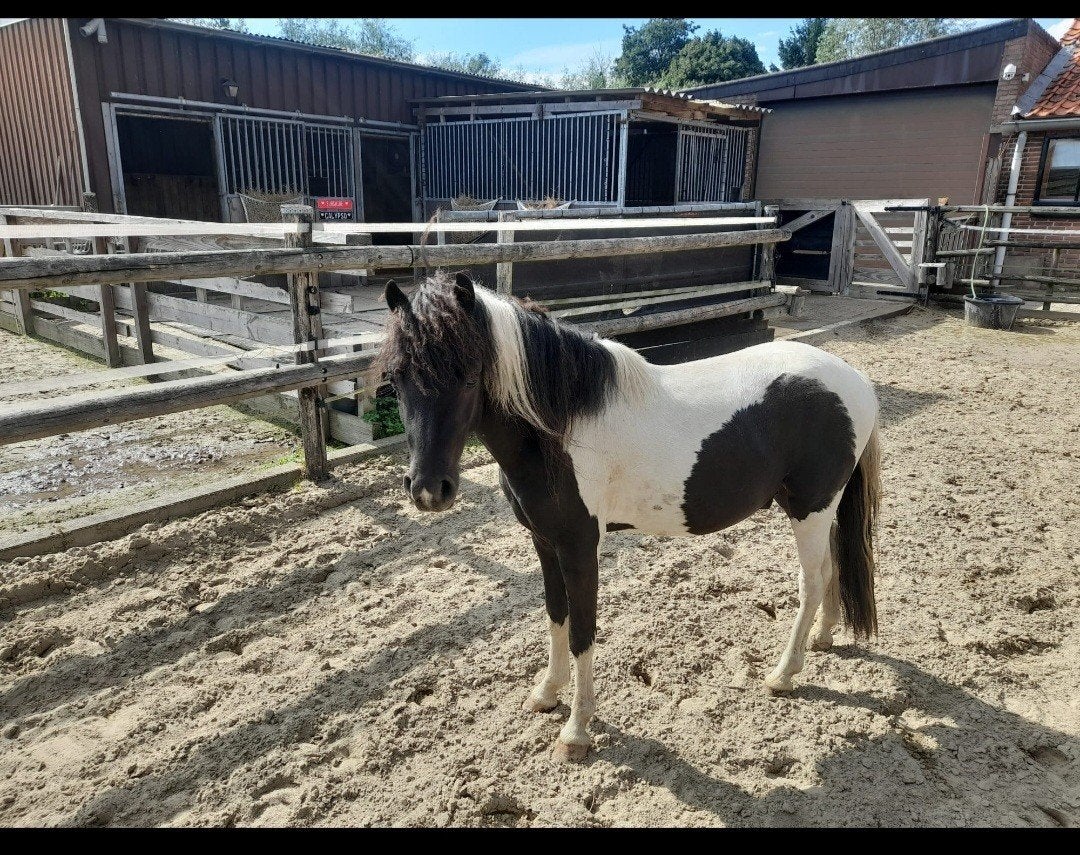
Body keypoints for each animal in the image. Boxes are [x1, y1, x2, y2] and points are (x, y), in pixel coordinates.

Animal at [380, 271, 881, 763]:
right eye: (396, 379)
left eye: (468, 378)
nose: (428, 490)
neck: (561, 431)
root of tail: (855, 380)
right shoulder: (545, 541)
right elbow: (556, 615)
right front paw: (546, 693)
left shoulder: (580, 546)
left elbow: (583, 631)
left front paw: (576, 731)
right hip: (820, 509)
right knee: (832, 567)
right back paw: (822, 640)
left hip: (810, 509)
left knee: (812, 581)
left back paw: (783, 674)